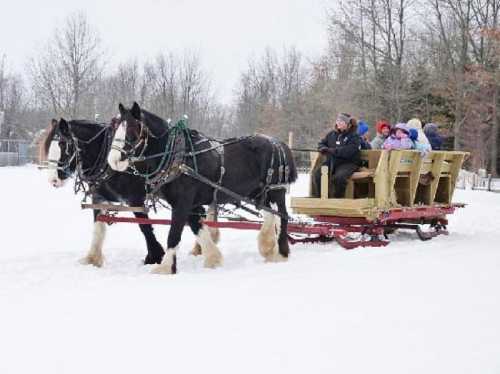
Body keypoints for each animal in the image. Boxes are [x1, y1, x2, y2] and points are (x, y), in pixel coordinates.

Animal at [41, 117, 165, 266]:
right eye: (49, 146)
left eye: (64, 145)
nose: (53, 180)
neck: (107, 162)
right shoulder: (98, 198)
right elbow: (98, 227)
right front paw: (93, 258)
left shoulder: (136, 199)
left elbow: (145, 227)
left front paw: (155, 257)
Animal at [108, 102, 296, 274]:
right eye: (115, 128)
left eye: (132, 129)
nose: (113, 160)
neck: (179, 156)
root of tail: (279, 143)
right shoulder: (189, 204)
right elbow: (197, 228)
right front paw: (213, 258)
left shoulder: (183, 202)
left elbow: (174, 233)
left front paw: (166, 267)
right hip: (258, 193)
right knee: (270, 215)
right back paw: (268, 248)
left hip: (276, 190)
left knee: (283, 216)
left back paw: (281, 253)